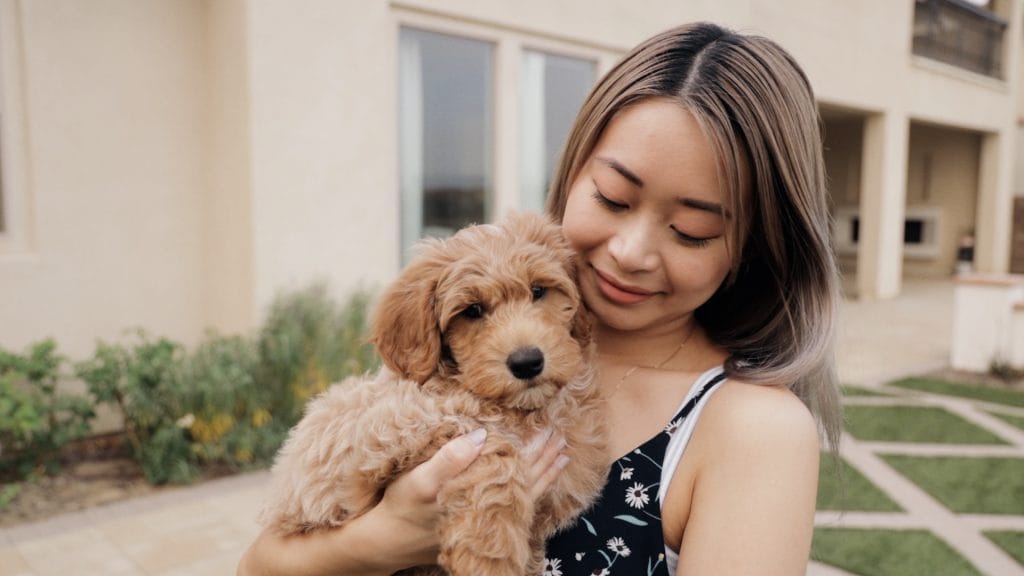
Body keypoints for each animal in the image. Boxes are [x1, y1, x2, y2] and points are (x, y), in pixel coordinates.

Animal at [260, 212, 606, 573]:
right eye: (472, 311)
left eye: (539, 291)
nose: (526, 362)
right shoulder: (385, 434)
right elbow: (494, 452)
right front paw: (489, 557)